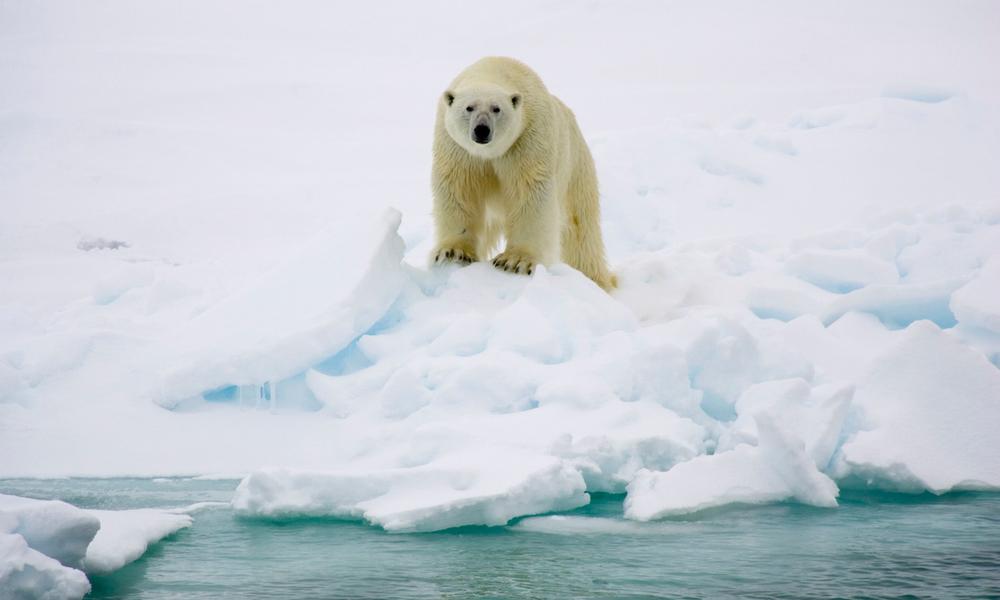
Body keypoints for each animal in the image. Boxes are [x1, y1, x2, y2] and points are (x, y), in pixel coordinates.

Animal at [432, 56, 616, 290]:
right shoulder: (457, 148)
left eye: (496, 109)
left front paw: (514, 261)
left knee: (580, 230)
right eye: (469, 107)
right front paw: (453, 252)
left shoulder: (528, 138)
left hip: (575, 167)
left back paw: (596, 279)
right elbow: (459, 189)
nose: (482, 130)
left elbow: (530, 194)